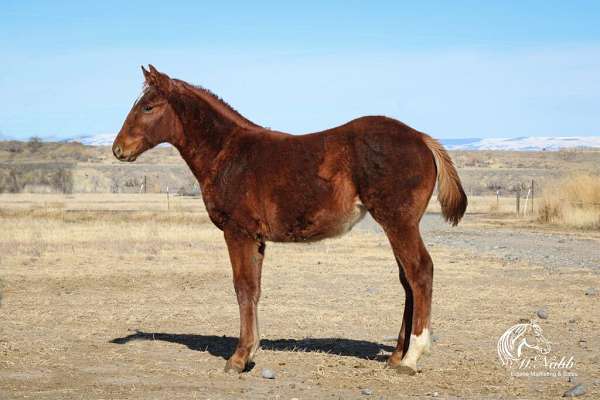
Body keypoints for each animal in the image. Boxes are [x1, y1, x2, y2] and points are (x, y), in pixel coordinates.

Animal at [113, 65, 468, 376]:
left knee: (420, 272)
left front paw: (238, 358)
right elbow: (254, 289)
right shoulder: (256, 239)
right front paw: (251, 351)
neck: (228, 154)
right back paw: (395, 356)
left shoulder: (237, 232)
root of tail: (422, 138)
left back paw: (411, 357)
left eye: (148, 107)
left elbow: (242, 286)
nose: (118, 149)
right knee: (407, 281)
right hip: (397, 224)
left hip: (398, 222)